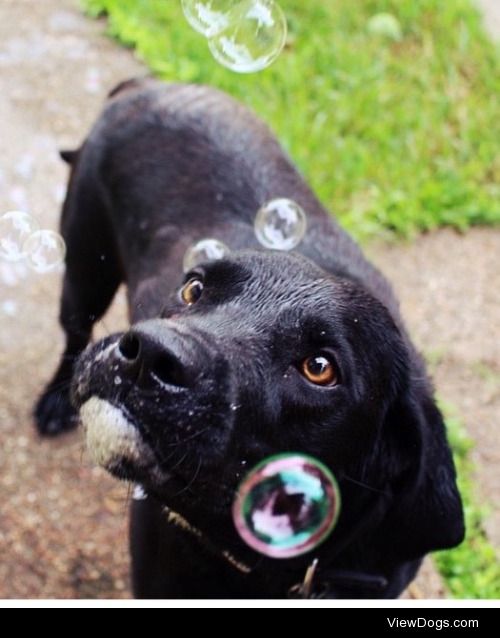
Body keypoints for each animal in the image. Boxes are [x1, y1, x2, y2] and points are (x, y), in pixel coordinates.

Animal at [35, 79, 464, 600]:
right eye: (193, 288)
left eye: (320, 368)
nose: (146, 354)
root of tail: (150, 85)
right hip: (83, 266)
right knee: (75, 332)